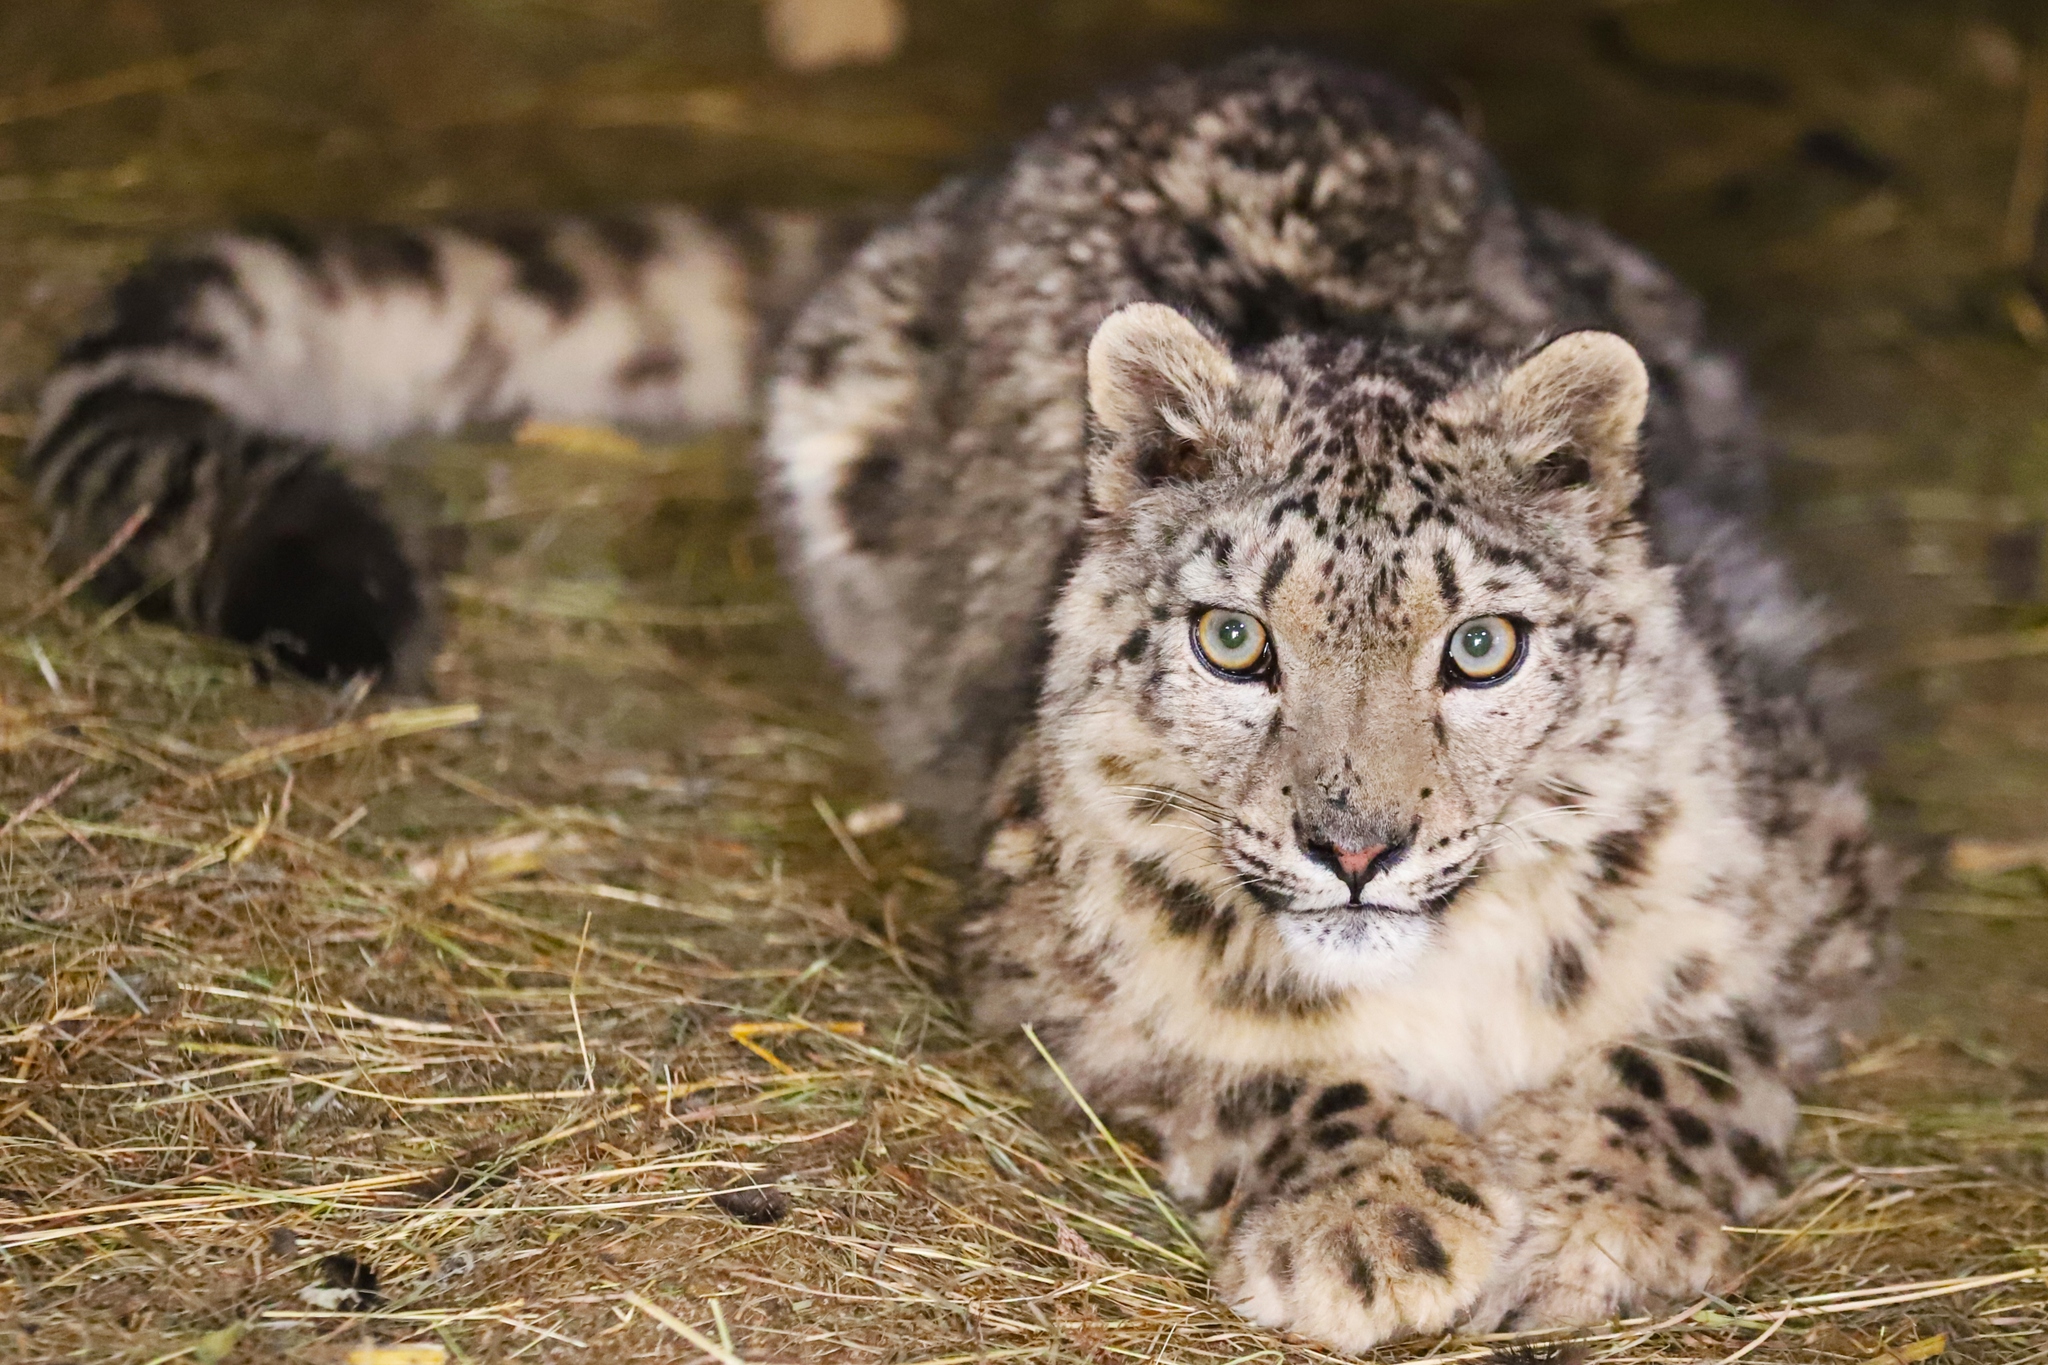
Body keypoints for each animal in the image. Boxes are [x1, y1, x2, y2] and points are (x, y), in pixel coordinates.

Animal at [19, 52, 1891, 1350]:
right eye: (1235, 641)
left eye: (1478, 649)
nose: (1349, 846)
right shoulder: (1038, 936)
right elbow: (1230, 1038)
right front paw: (1374, 1223)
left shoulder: (1815, 864)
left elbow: (1692, 1040)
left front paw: (1590, 1220)